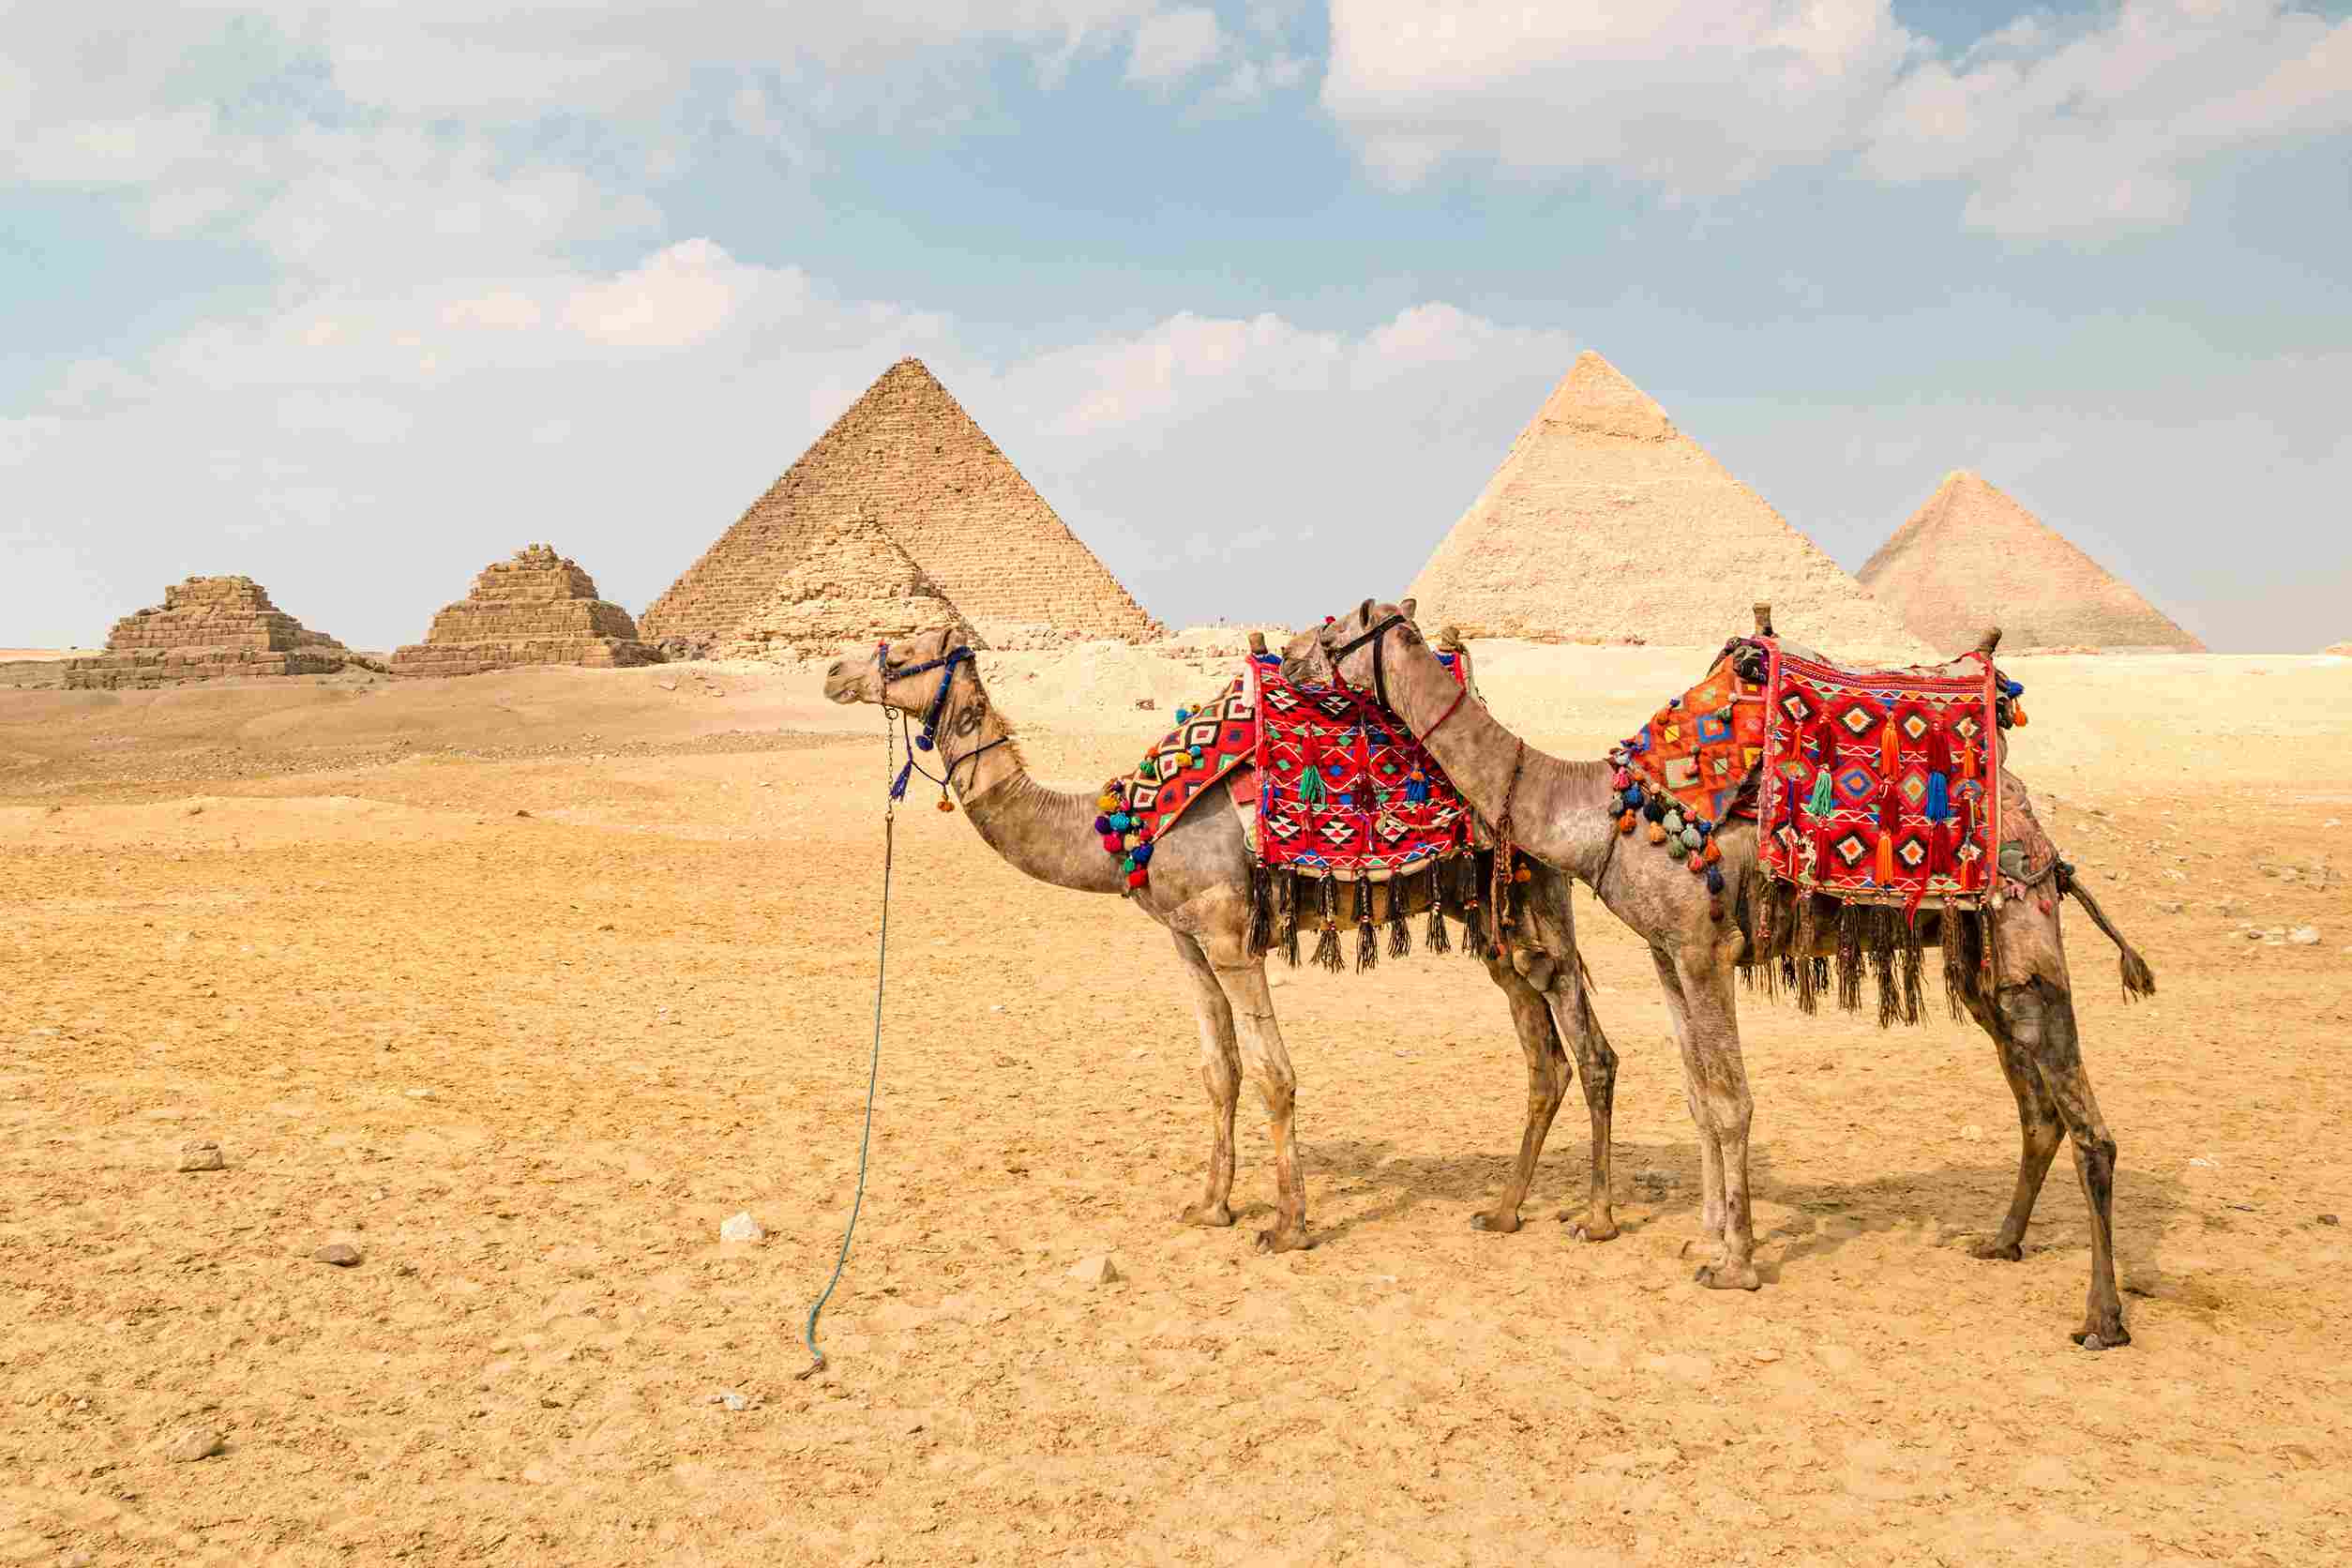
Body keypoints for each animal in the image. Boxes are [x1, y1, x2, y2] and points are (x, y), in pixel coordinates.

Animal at [823, 626, 1621, 1253]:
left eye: (908, 650)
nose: (834, 673)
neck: (1123, 827)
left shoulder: (1231, 936)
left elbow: (1274, 1074)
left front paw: (1289, 1225)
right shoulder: (1186, 942)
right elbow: (1221, 1071)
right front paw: (1211, 1207)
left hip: (1535, 893)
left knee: (1589, 1049)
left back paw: (1596, 1218)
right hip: (1491, 919)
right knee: (1545, 1056)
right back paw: (1505, 1211)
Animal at [1315, 601, 2150, 1348]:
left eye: (1329, 633)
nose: (1292, 659)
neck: (1597, 816)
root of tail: (2043, 841)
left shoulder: (1702, 947)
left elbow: (1731, 1102)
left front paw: (1736, 1264)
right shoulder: (1665, 954)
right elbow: (1698, 1098)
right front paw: (1705, 1238)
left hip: (2024, 931)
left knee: (2091, 1127)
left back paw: (2102, 1318)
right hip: (1978, 959)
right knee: (2038, 1108)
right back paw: (2002, 1241)